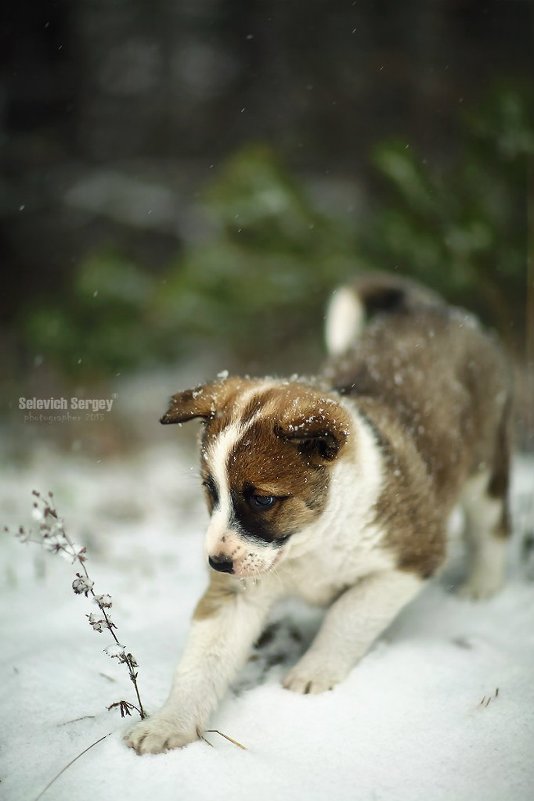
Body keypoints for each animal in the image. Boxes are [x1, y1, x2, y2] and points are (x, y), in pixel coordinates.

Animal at [126, 272, 516, 752]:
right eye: (209, 491)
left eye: (262, 499)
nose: (216, 563)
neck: (314, 540)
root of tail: (433, 309)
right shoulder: (236, 595)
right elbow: (201, 663)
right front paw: (168, 724)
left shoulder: (411, 558)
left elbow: (348, 613)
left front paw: (311, 674)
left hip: (486, 467)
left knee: (492, 525)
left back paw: (482, 586)